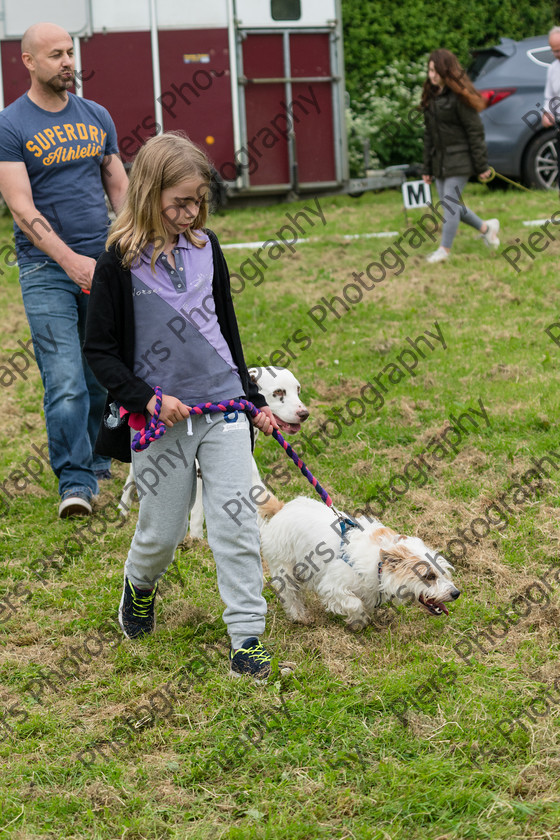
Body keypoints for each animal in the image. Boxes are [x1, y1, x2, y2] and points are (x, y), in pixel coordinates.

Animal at [258, 496, 460, 628]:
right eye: (429, 576)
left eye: (443, 572)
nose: (456, 593)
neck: (379, 564)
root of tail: (282, 508)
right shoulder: (333, 586)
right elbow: (355, 604)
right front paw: (358, 621)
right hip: (285, 569)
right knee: (290, 594)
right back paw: (300, 616)